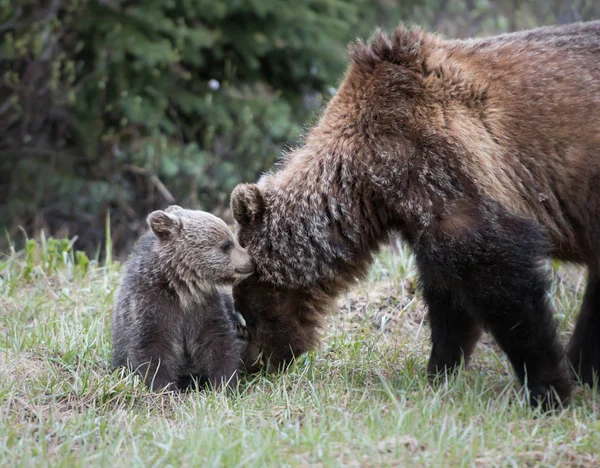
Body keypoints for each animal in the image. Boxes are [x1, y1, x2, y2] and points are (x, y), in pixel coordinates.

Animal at [231, 22, 600, 410]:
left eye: (247, 299)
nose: (254, 365)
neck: (367, 182)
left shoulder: (442, 167)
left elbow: (501, 275)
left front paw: (547, 388)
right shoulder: (420, 210)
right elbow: (446, 295)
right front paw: (440, 371)